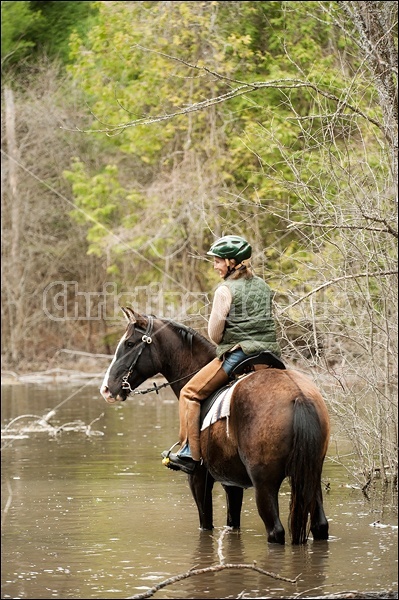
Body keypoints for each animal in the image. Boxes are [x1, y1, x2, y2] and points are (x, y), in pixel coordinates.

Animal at [101, 308, 332, 548]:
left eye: (129, 343)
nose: (107, 389)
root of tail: (298, 396)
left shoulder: (199, 478)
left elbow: (206, 523)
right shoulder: (232, 483)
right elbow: (232, 522)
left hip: (264, 483)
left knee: (275, 531)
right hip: (311, 476)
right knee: (320, 525)